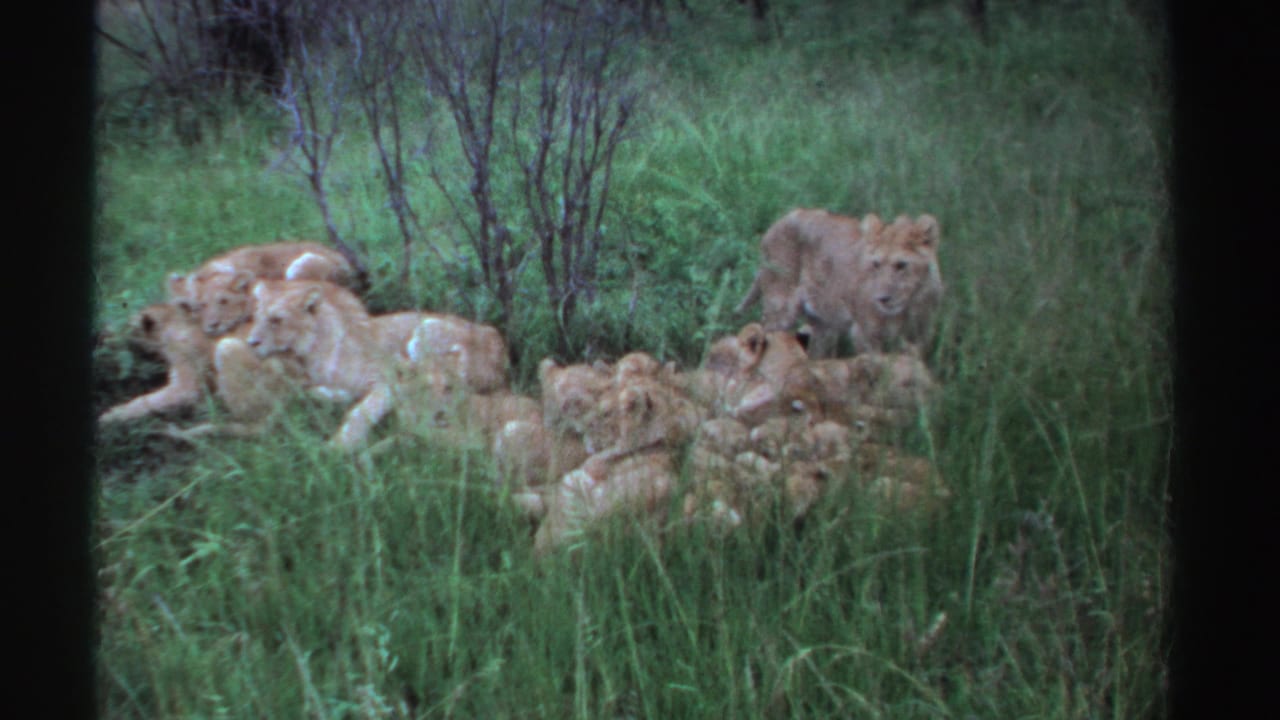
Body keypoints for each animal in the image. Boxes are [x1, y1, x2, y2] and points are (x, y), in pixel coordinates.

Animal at [735, 209, 942, 357]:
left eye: (901, 265)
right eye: (876, 264)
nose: (882, 299)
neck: (908, 306)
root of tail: (779, 222)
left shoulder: (921, 338)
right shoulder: (864, 334)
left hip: (823, 325)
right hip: (780, 309)